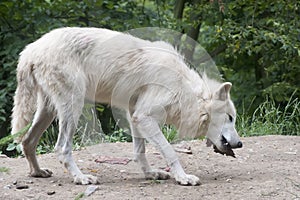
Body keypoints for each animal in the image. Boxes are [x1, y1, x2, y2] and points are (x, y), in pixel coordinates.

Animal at [10, 27, 243, 186]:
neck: (184, 91)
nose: (240, 144)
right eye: (230, 118)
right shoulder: (145, 117)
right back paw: (81, 178)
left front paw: (150, 174)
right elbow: (169, 150)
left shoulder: (134, 115)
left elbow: (140, 151)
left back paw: (38, 172)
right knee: (61, 148)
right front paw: (183, 177)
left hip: (48, 110)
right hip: (73, 107)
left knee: (28, 141)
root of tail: (30, 50)